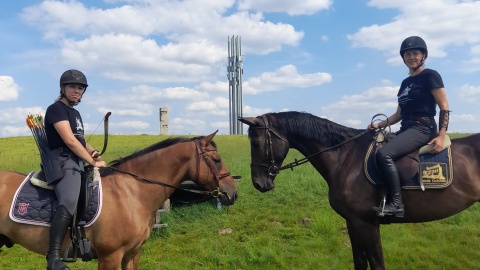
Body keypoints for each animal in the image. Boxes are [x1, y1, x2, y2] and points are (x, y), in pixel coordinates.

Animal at [239, 112, 480, 270]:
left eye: (256, 142)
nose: (258, 183)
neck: (346, 157)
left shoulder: (367, 224)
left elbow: (376, 264)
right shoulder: (353, 222)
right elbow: (360, 263)